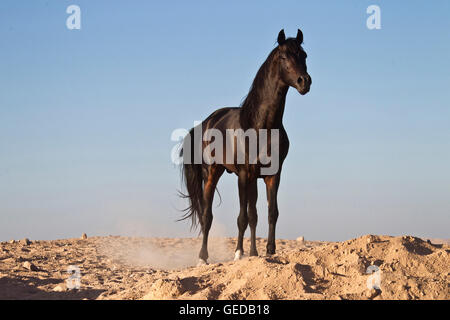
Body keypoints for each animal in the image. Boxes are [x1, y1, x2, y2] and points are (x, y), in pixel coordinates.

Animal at [178, 29, 312, 264]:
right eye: (284, 56)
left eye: (303, 55)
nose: (304, 81)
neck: (260, 124)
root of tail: (206, 122)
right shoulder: (244, 173)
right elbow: (242, 216)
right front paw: (239, 253)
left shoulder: (272, 175)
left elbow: (269, 213)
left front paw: (269, 251)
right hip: (213, 173)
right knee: (207, 215)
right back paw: (203, 257)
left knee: (253, 215)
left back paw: (253, 252)